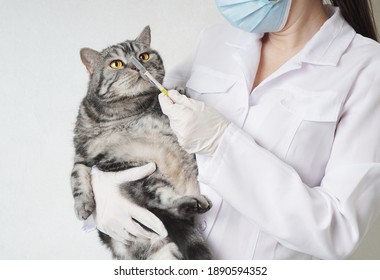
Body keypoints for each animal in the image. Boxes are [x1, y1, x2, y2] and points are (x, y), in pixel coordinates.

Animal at [70, 26, 212, 260]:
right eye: (116, 63)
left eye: (144, 56)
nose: (138, 67)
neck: (126, 111)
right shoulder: (82, 153)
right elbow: (76, 176)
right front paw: (83, 205)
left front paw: (180, 93)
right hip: (144, 177)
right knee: (161, 204)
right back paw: (190, 204)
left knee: (166, 205)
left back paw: (191, 203)